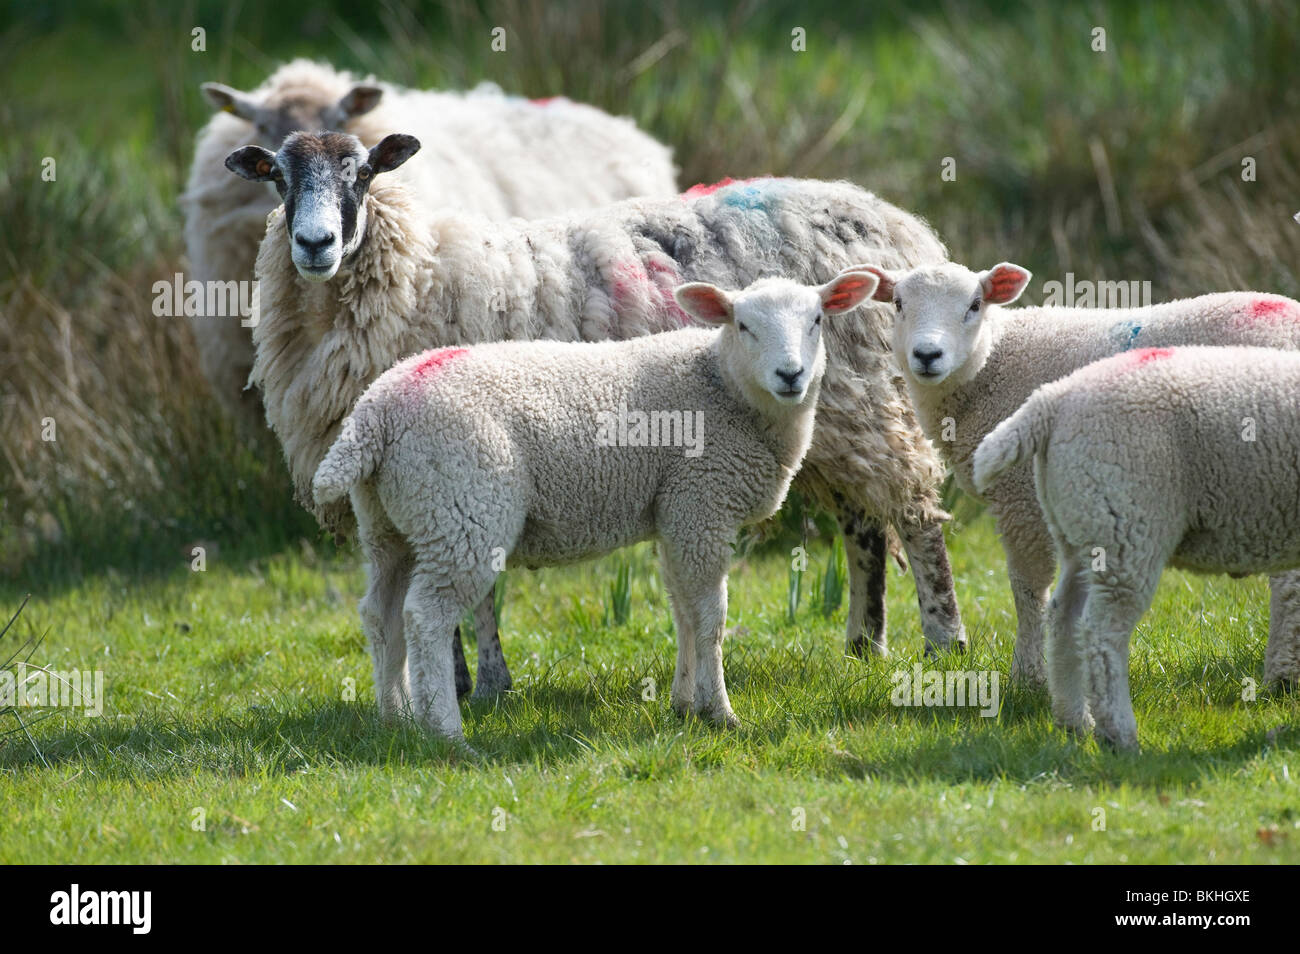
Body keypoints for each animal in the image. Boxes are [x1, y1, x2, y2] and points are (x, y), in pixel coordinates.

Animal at [312, 272, 883, 743]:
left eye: (816, 321)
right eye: (743, 325)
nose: (791, 375)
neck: (722, 386)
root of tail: (376, 412)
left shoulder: (674, 512)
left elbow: (681, 611)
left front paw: (683, 704)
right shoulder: (701, 503)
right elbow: (710, 616)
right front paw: (720, 713)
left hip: (392, 521)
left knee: (380, 612)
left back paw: (396, 719)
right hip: (462, 508)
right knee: (426, 616)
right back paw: (446, 732)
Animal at [852, 257, 1300, 686]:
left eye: (974, 305)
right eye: (898, 304)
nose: (927, 356)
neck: (992, 364)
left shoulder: (1021, 496)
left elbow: (1028, 590)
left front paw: (1027, 677)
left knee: (1287, 582)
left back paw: (1280, 676)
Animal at [972, 348, 1300, 748]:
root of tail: (1052, 399)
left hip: (1081, 528)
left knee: (1064, 618)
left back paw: (1074, 722)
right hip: (1124, 520)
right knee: (1101, 634)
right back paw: (1119, 735)